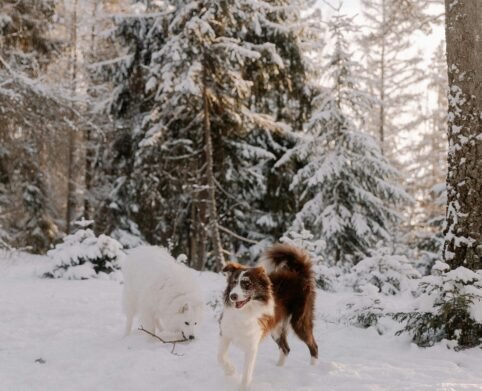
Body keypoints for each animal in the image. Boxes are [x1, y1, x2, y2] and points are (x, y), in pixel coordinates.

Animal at [219, 243, 318, 390]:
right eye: (233, 282)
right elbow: (220, 356)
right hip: (276, 329)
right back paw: (278, 369)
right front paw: (230, 370)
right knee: (286, 349)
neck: (244, 312)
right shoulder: (226, 333)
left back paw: (313, 369)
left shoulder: (252, 343)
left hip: (300, 321)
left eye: (246, 284)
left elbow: (246, 373)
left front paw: (242, 385)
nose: (233, 296)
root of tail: (300, 274)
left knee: (313, 346)